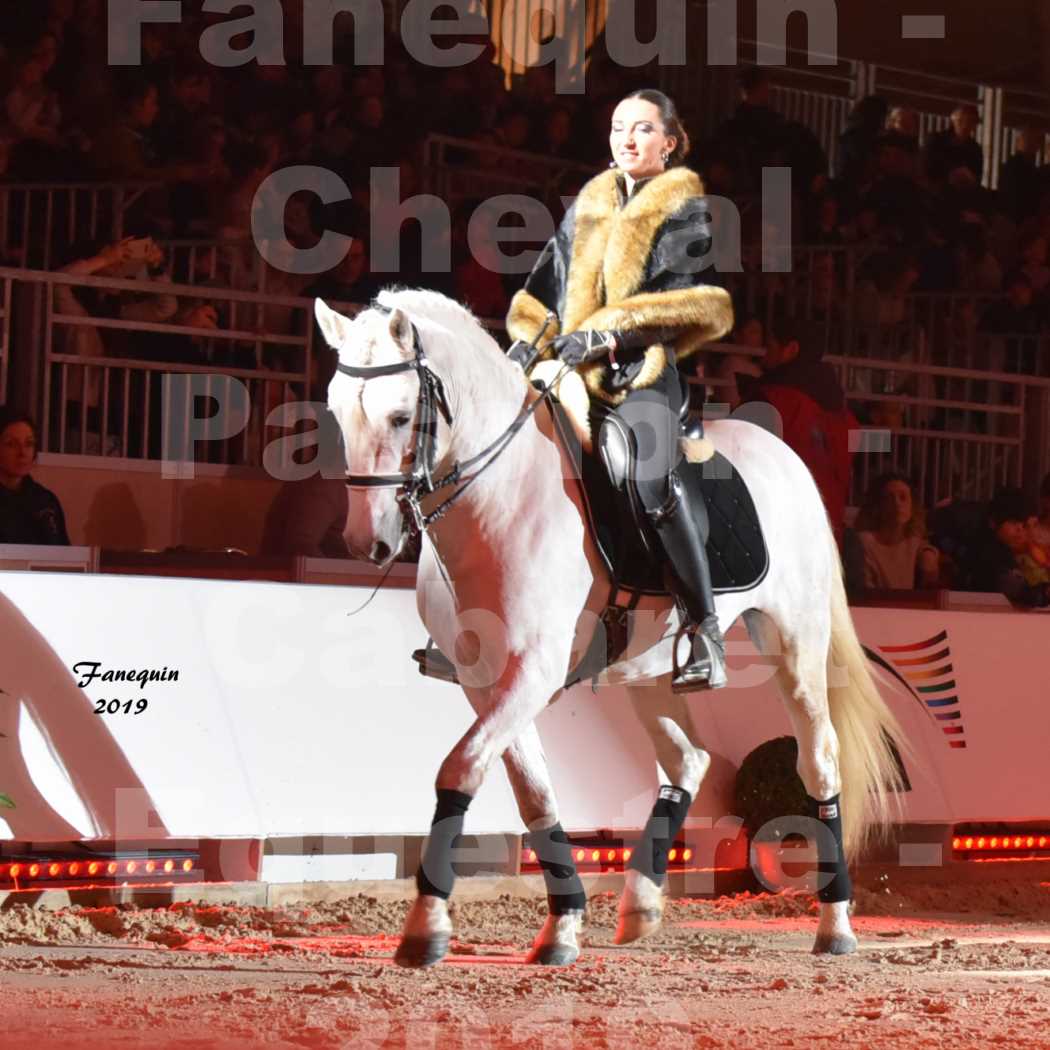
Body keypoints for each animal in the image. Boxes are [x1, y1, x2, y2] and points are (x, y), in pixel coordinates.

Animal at [315, 287, 907, 965]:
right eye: (338, 413)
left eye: (398, 416)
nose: (368, 542)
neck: (500, 498)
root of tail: (783, 454)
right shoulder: (484, 679)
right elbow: (534, 794)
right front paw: (562, 924)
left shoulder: (534, 672)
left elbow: (459, 770)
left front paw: (426, 925)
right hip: (648, 667)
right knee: (687, 761)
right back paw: (641, 904)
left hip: (796, 644)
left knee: (819, 761)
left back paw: (835, 924)